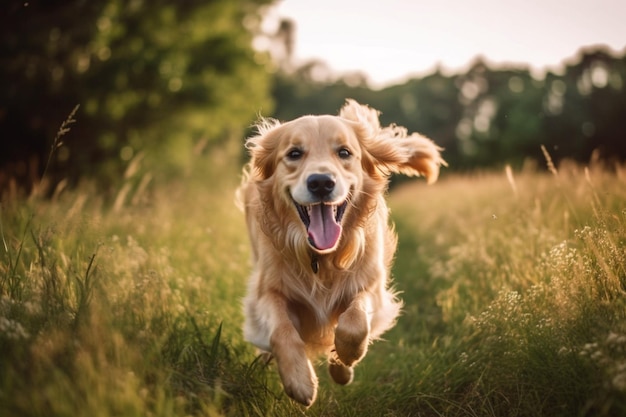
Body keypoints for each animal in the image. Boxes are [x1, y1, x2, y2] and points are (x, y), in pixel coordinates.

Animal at [234, 99, 444, 404]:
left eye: (344, 152)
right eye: (294, 153)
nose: (321, 182)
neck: (321, 257)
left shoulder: (370, 284)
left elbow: (354, 323)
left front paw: (344, 360)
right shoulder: (267, 291)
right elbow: (281, 330)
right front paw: (300, 381)